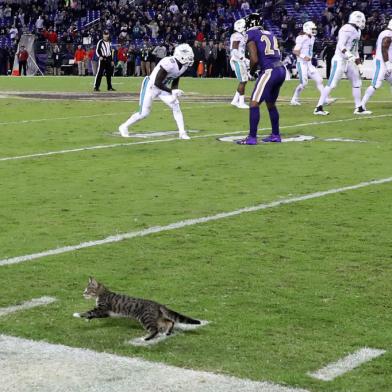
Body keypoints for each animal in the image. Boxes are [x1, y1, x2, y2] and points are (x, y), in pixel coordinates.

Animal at [73, 278, 201, 340]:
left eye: (87, 290)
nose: (83, 293)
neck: (102, 293)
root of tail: (157, 304)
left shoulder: (103, 309)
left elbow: (89, 312)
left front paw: (77, 314)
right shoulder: (106, 313)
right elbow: (92, 314)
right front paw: (87, 319)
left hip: (145, 318)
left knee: (155, 329)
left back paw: (146, 339)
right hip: (156, 317)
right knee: (170, 321)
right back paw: (167, 333)